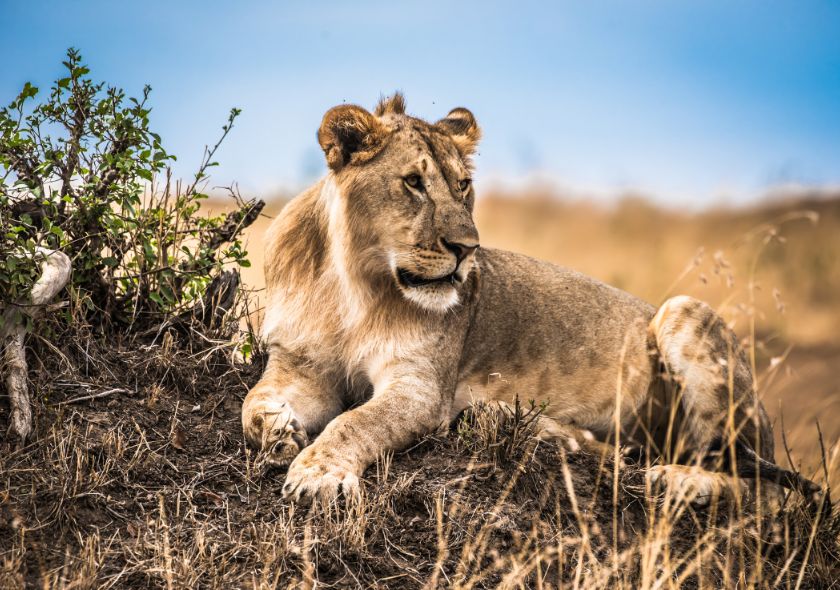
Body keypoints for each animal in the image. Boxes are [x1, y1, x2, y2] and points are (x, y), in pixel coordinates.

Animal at [242, 93, 821, 507]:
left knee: (762, 490)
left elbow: (355, 422)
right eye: (412, 183)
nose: (467, 249)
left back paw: (676, 481)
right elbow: (253, 404)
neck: (355, 287)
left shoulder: (420, 388)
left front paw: (318, 474)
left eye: (463, 186)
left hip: (685, 313)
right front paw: (280, 432)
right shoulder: (301, 365)